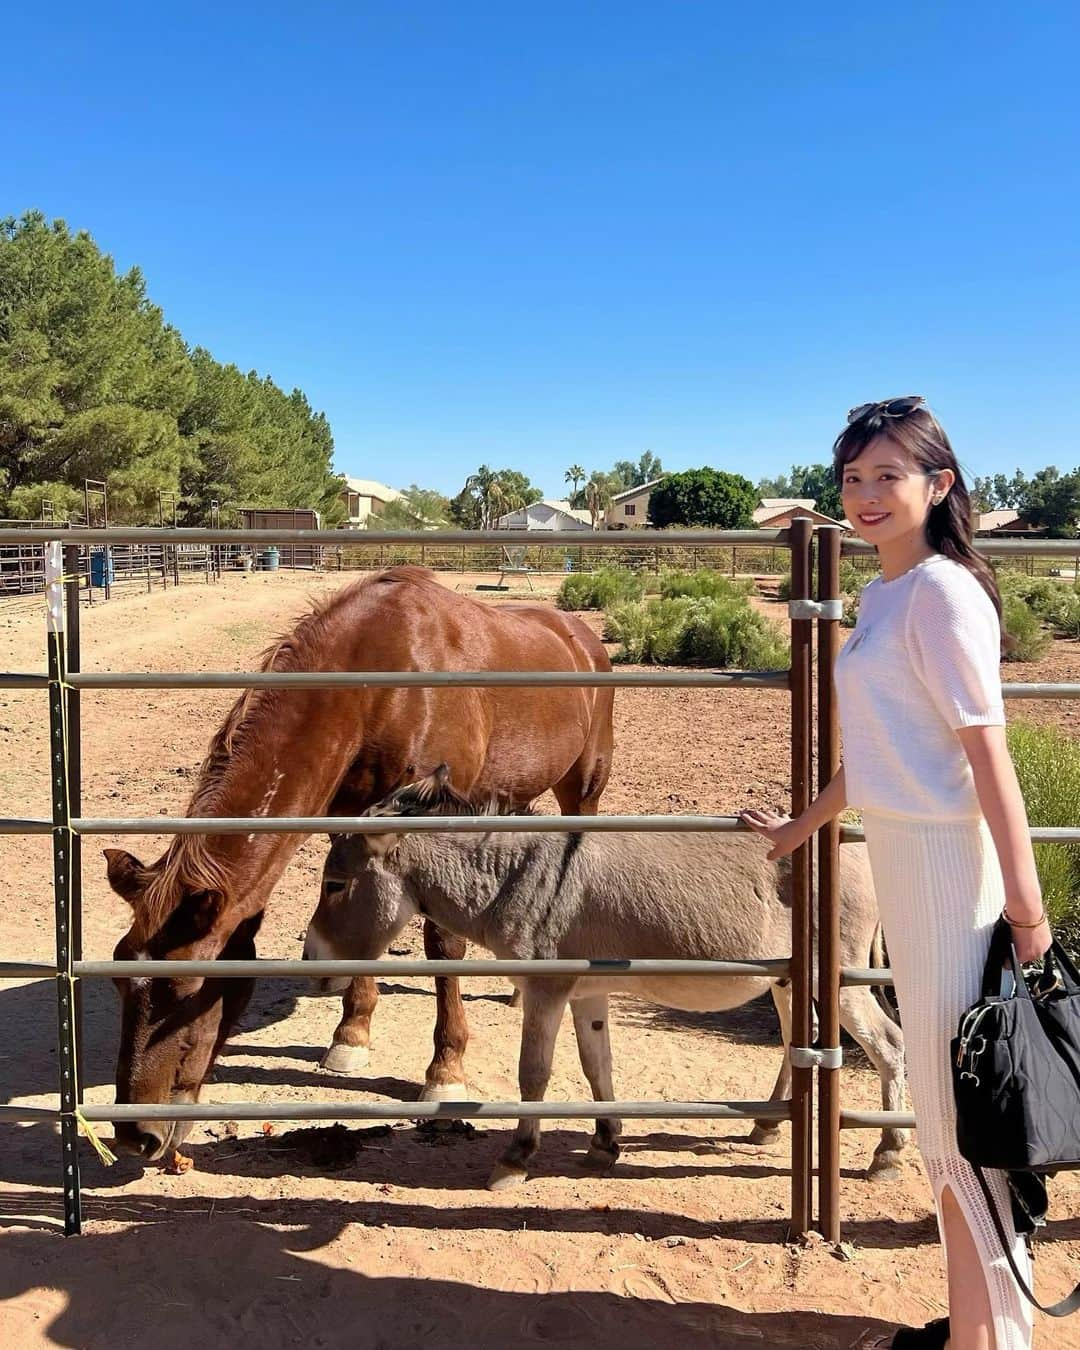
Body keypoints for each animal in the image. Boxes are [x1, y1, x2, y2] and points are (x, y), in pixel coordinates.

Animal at [104, 567, 612, 1161]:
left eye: (186, 990)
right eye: (119, 979)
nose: (134, 1136)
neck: (376, 689)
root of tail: (579, 634)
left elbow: (444, 945)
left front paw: (445, 1072)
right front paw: (351, 1035)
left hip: (583, 787)